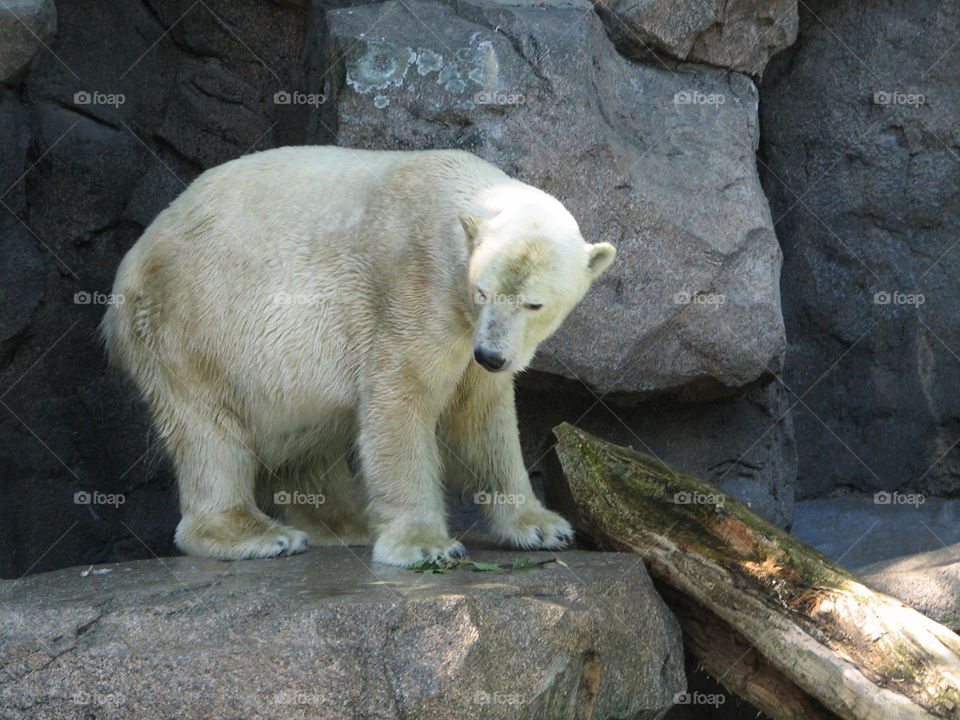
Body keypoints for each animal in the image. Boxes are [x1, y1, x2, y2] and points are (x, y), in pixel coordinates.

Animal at [101, 146, 616, 566]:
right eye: (482, 291)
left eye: (534, 304)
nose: (491, 354)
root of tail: (133, 260)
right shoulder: (416, 291)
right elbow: (401, 399)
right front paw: (425, 544)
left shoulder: (470, 336)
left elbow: (480, 416)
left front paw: (543, 526)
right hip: (192, 323)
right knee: (208, 428)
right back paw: (258, 534)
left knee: (306, 436)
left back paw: (344, 522)